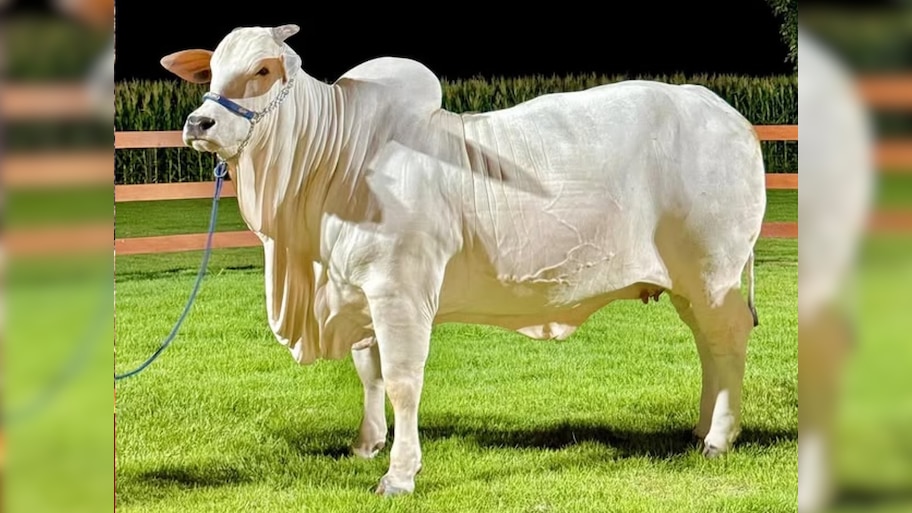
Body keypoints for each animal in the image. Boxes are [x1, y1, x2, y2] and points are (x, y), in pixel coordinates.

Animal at [160, 24, 767, 496]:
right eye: (210, 71)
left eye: (263, 69)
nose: (198, 124)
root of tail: (727, 113)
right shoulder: (359, 290)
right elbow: (369, 373)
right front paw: (366, 446)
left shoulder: (399, 292)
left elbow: (402, 380)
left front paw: (399, 475)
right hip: (690, 283)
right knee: (708, 345)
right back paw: (701, 429)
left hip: (714, 274)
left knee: (727, 339)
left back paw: (719, 439)